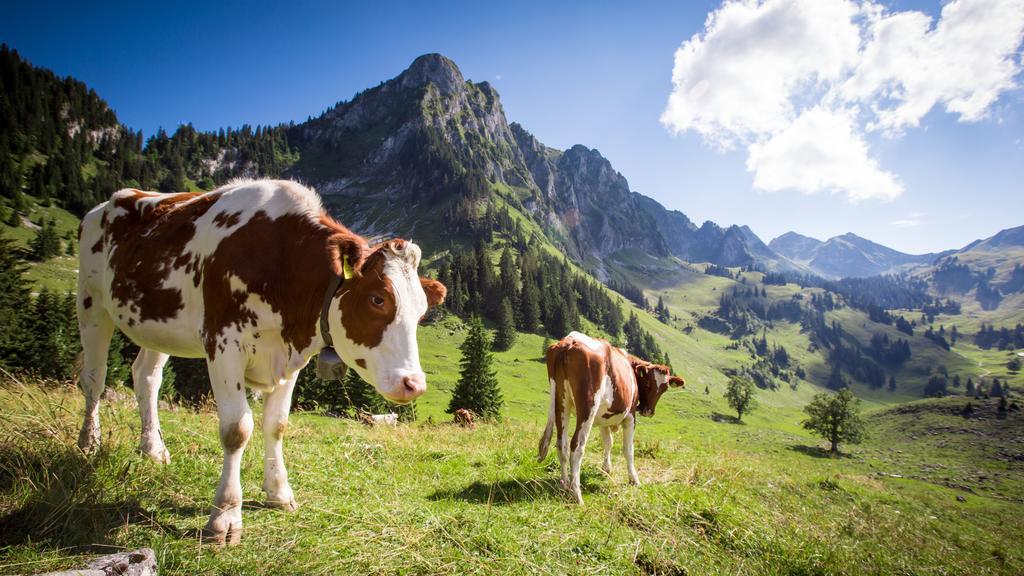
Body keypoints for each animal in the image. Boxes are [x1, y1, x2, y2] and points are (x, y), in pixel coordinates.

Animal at [75, 179, 444, 541]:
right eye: (378, 299)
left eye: (422, 312)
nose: (414, 384)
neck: (284, 263)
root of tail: (108, 203)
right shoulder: (223, 343)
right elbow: (237, 429)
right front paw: (225, 516)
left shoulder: (291, 357)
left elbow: (276, 424)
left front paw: (279, 493)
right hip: (92, 302)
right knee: (94, 377)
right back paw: (88, 443)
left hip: (157, 325)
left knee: (147, 377)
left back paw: (152, 449)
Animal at [536, 332, 688, 502]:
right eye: (648, 383)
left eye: (664, 388)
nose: (648, 411)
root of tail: (569, 342)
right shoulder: (630, 417)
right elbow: (628, 450)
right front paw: (634, 479)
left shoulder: (603, 418)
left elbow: (608, 442)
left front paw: (606, 468)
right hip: (588, 407)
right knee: (577, 446)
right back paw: (576, 494)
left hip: (561, 402)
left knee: (562, 443)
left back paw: (565, 485)